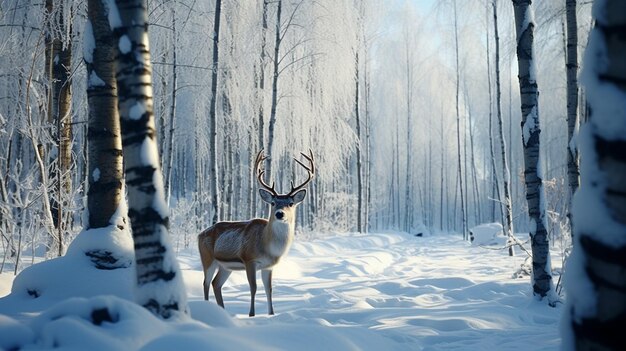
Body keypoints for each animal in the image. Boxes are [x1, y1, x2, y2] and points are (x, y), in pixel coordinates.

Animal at [197, 150, 314, 318]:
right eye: (273, 203)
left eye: (290, 203)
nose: (280, 214)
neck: (268, 247)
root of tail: (200, 234)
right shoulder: (249, 260)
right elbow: (254, 287)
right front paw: (251, 314)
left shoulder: (269, 266)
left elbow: (269, 289)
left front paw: (271, 314)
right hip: (207, 258)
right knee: (206, 283)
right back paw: (208, 308)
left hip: (226, 266)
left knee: (215, 283)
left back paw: (223, 311)